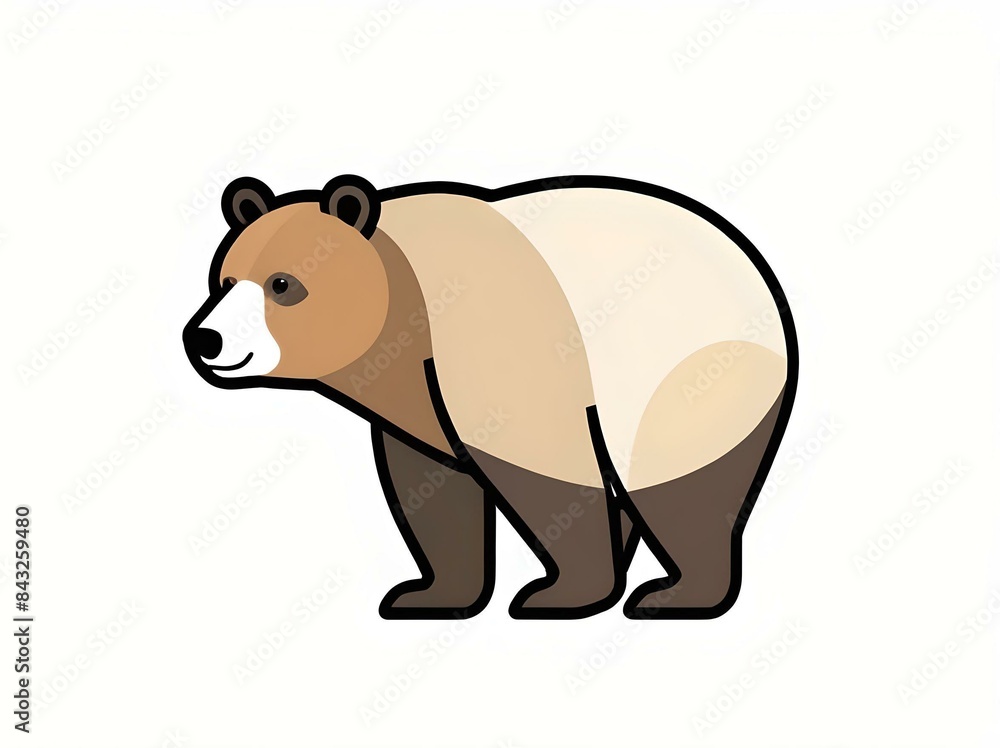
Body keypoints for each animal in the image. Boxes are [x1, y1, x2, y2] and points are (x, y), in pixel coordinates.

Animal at [182, 174, 798, 620]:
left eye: (283, 284)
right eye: (224, 278)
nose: (205, 338)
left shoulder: (491, 338)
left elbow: (538, 459)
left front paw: (557, 593)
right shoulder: (414, 395)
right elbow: (431, 481)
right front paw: (428, 594)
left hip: (687, 369)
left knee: (672, 474)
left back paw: (675, 593)